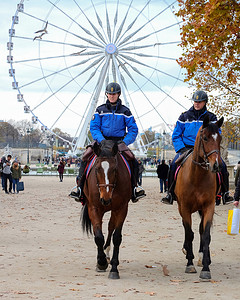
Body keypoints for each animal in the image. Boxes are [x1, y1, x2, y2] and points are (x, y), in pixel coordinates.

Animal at [81, 139, 132, 280]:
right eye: (97, 169)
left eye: (114, 169)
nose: (106, 198)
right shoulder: (94, 208)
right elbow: (98, 236)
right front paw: (101, 262)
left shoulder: (121, 208)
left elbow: (117, 237)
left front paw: (114, 268)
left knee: (110, 227)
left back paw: (108, 253)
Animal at [174, 115, 223, 282]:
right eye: (205, 138)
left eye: (220, 138)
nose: (216, 166)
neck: (197, 176)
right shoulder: (185, 207)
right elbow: (189, 233)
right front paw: (190, 263)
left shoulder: (208, 206)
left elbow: (206, 234)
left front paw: (206, 267)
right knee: (187, 229)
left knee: (201, 230)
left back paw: (203, 257)